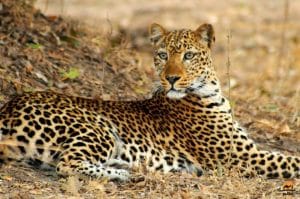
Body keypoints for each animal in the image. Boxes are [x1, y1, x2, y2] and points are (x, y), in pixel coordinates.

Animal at [0, 22, 298, 180]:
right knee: (69, 164)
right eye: (162, 55)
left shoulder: (245, 151)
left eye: (189, 55)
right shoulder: (239, 156)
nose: (172, 78)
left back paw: (126, 166)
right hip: (97, 128)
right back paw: (126, 173)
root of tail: (8, 108)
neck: (210, 92)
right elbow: (291, 161)